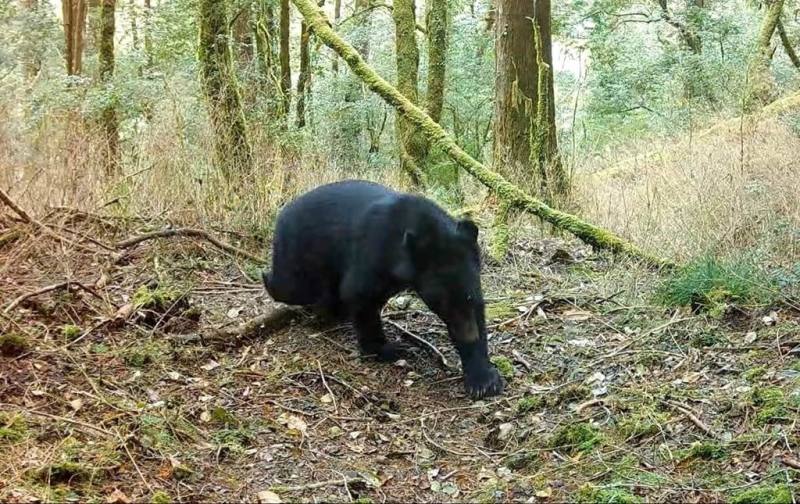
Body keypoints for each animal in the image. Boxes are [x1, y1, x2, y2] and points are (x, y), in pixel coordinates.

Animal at [266, 179, 506, 400]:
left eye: (468, 296)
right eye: (441, 303)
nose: (469, 335)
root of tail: (282, 213)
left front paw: (483, 379)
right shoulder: (374, 251)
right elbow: (358, 292)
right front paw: (389, 349)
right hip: (300, 254)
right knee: (290, 286)